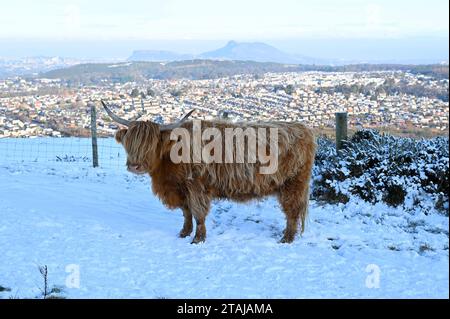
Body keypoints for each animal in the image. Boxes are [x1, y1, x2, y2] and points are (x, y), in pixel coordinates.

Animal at [101, 101, 314, 244]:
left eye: (151, 144)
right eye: (129, 143)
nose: (135, 166)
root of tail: (302, 128)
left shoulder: (196, 187)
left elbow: (198, 214)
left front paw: (198, 239)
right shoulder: (180, 189)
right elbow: (186, 212)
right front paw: (184, 233)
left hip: (293, 184)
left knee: (292, 211)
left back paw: (286, 239)